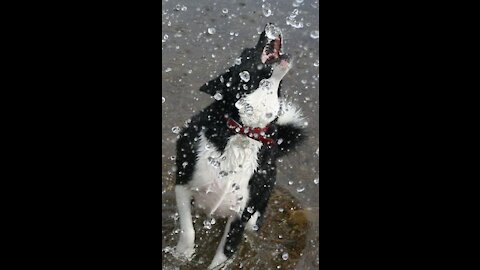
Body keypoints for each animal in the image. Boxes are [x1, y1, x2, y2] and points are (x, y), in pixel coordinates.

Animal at [174, 24, 306, 268]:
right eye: (246, 52)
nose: (268, 25)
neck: (244, 131)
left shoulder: (241, 216)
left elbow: (224, 254)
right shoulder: (183, 182)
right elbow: (188, 231)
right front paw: (182, 255)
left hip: (255, 217)